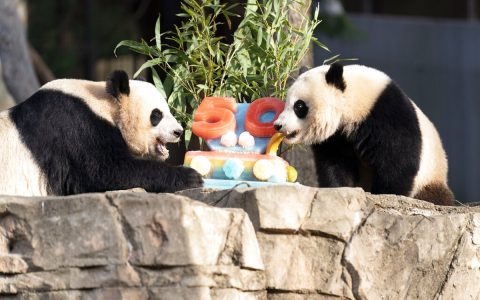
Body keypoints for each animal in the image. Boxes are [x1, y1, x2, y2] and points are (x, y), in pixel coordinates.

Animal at [0, 70, 202, 197]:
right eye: (156, 115)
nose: (178, 131)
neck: (104, 103)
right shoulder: (75, 127)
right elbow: (106, 172)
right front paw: (191, 176)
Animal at [274, 62, 454, 205]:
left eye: (299, 106)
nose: (278, 125)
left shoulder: (387, 113)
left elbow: (399, 161)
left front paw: (386, 194)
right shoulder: (336, 137)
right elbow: (335, 162)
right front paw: (340, 189)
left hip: (430, 176)